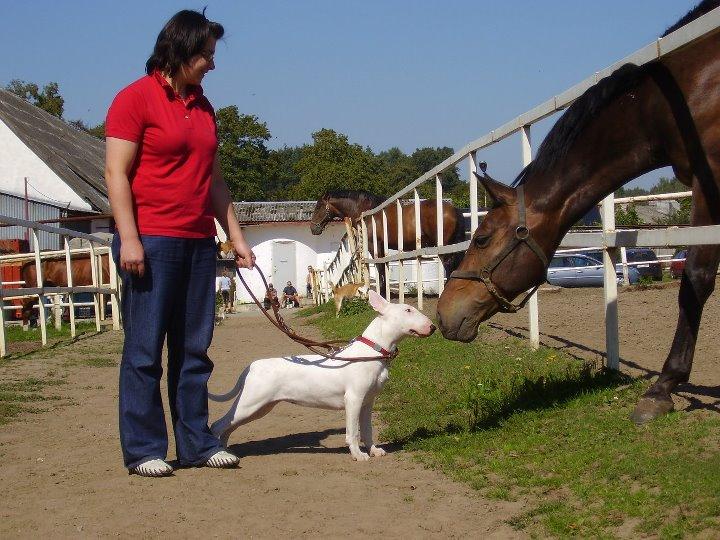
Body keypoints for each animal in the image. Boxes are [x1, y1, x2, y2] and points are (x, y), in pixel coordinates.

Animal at [310, 190, 466, 298]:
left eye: (318, 207)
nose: (313, 228)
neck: (367, 212)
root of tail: (453, 209)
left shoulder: (374, 245)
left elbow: (380, 267)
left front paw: (383, 293)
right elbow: (384, 266)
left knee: (449, 265)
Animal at [436, 0, 720, 424]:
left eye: (482, 238)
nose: (442, 313)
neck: (666, 100)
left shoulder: (711, 178)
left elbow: (696, 277)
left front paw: (662, 388)